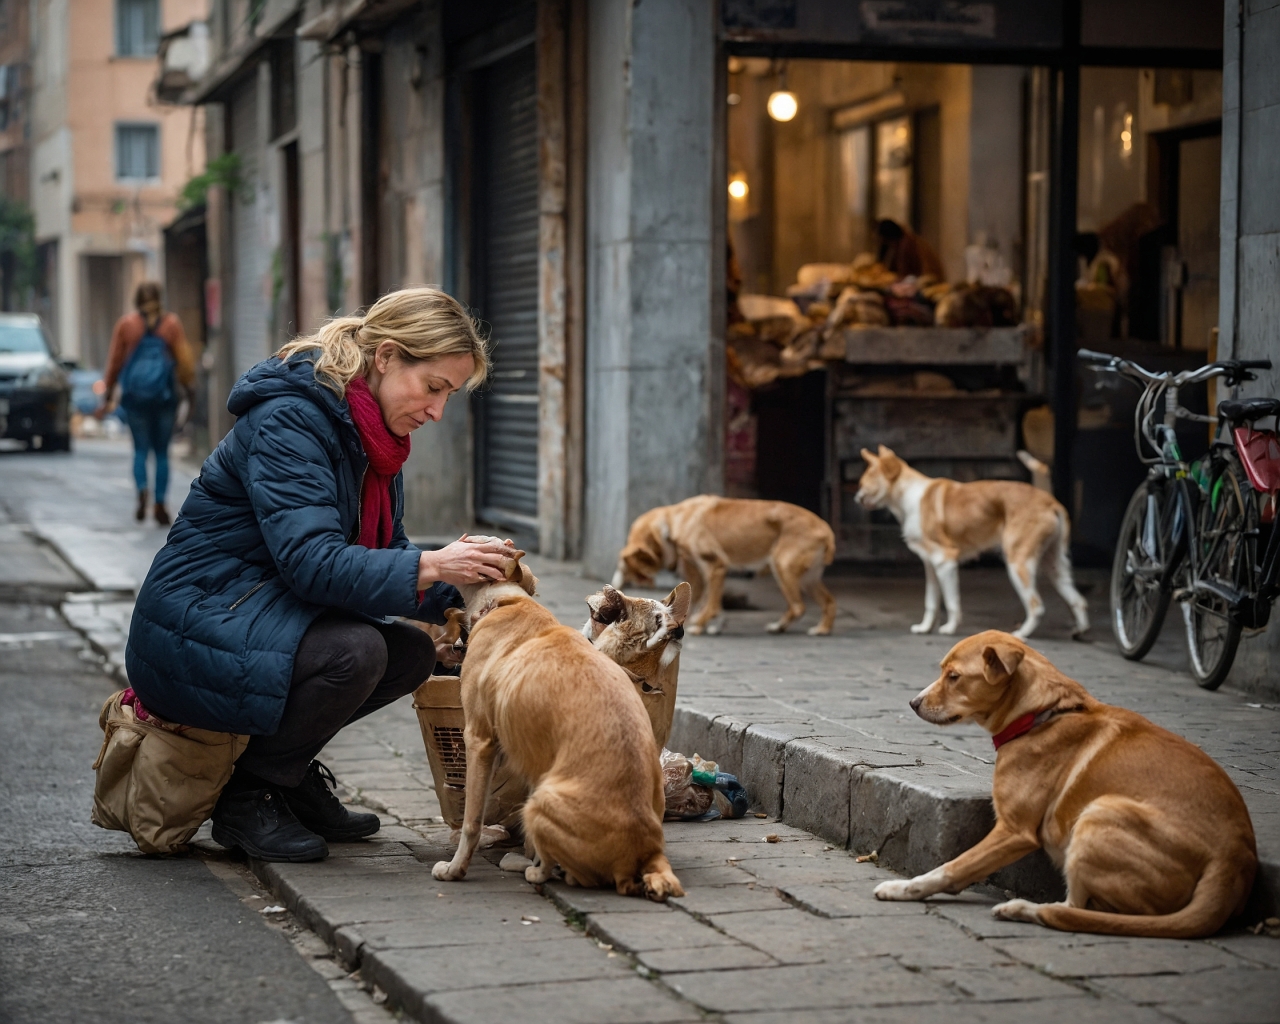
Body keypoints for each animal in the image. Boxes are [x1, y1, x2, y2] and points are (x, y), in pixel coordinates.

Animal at [611, 494, 839, 632]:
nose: (619, 579)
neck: (675, 520)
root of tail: (825, 527)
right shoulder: (704, 573)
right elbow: (706, 602)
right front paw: (710, 624)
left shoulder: (715, 567)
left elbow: (711, 605)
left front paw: (700, 625)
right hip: (807, 578)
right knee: (828, 601)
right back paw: (821, 629)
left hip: (783, 568)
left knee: (798, 606)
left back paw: (780, 626)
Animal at [855, 448, 1085, 640]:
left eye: (863, 483)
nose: (856, 499)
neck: (909, 496)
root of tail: (1048, 499)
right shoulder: (930, 565)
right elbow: (931, 602)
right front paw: (925, 628)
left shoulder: (945, 562)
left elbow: (951, 602)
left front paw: (949, 629)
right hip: (1054, 566)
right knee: (1078, 600)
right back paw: (1079, 631)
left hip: (1019, 564)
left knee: (1037, 606)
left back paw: (1020, 634)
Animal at [870, 632, 1259, 936]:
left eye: (954, 676)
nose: (913, 702)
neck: (1041, 714)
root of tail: (1234, 858)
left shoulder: (1014, 831)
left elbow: (949, 869)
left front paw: (902, 888)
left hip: (1100, 812)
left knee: (1077, 913)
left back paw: (1025, 909)